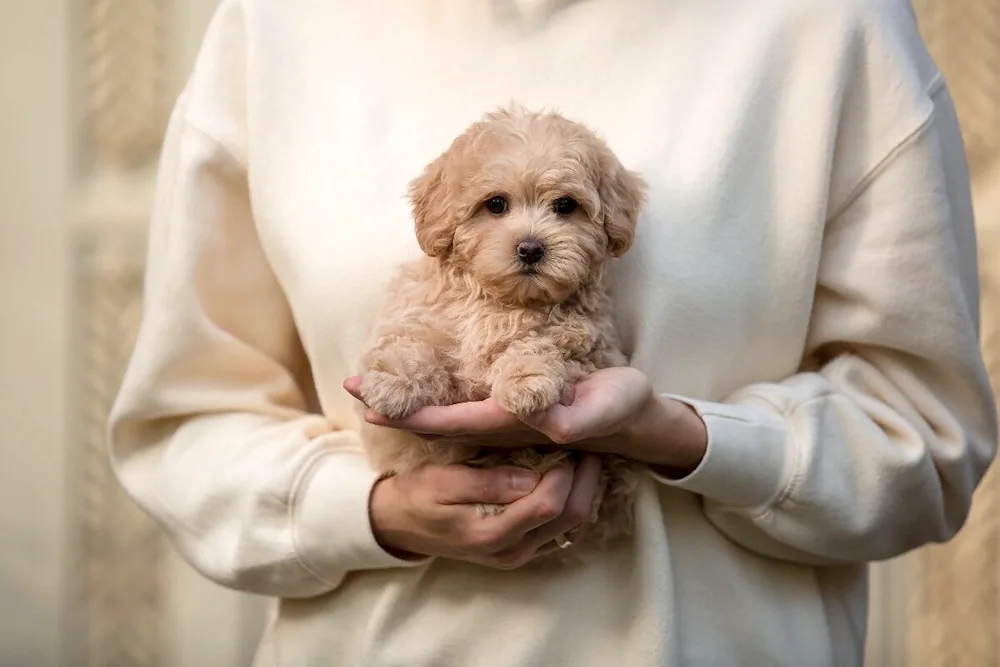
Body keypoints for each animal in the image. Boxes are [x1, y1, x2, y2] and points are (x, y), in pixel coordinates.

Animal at [360, 105, 648, 560]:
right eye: (495, 204)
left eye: (565, 205)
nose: (530, 248)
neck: (502, 302)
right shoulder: (421, 315)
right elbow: (414, 342)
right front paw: (394, 382)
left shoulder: (592, 347)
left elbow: (546, 343)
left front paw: (525, 378)